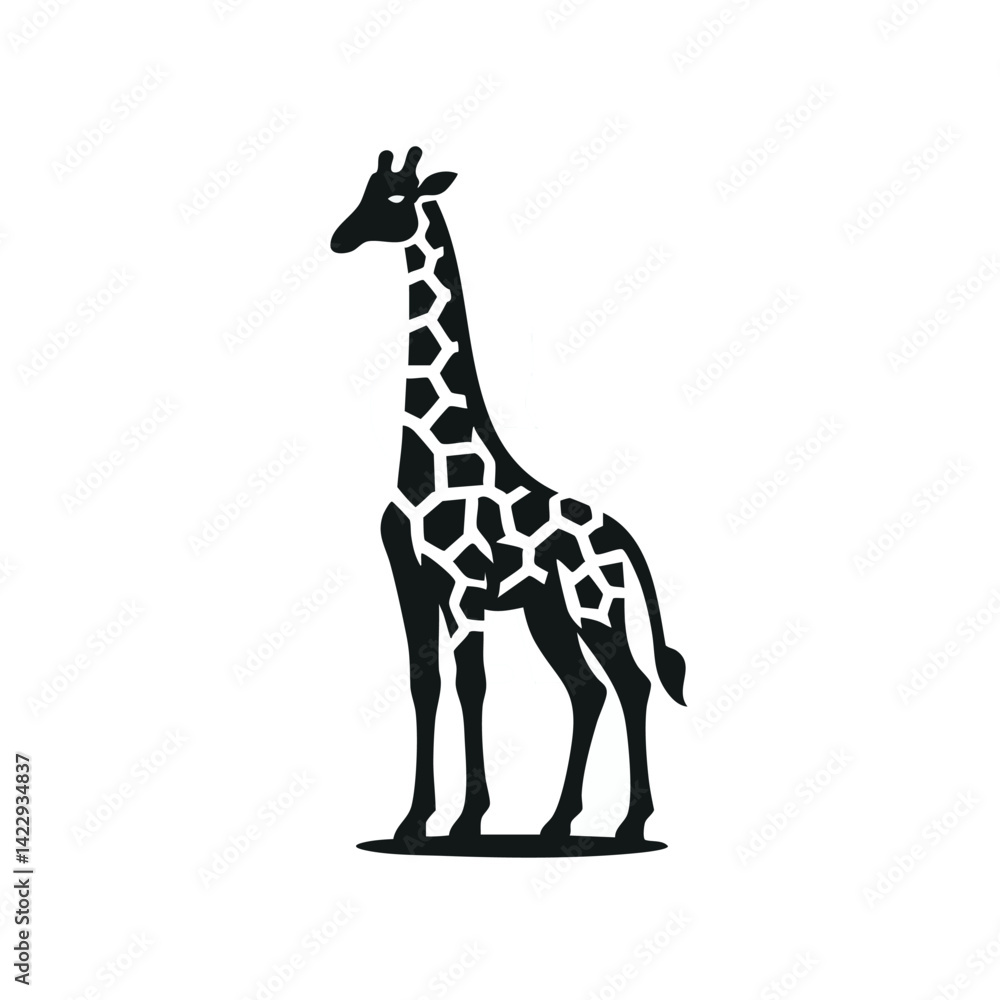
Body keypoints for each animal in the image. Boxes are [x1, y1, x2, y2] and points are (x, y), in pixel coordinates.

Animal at [332, 147, 686, 848]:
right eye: (363, 191)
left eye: (394, 199)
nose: (339, 238)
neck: (429, 456)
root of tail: (623, 538)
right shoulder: (412, 581)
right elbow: (424, 683)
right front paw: (414, 821)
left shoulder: (466, 586)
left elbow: (473, 684)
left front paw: (468, 820)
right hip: (547, 613)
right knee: (587, 690)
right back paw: (557, 822)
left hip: (594, 606)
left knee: (630, 683)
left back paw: (631, 823)